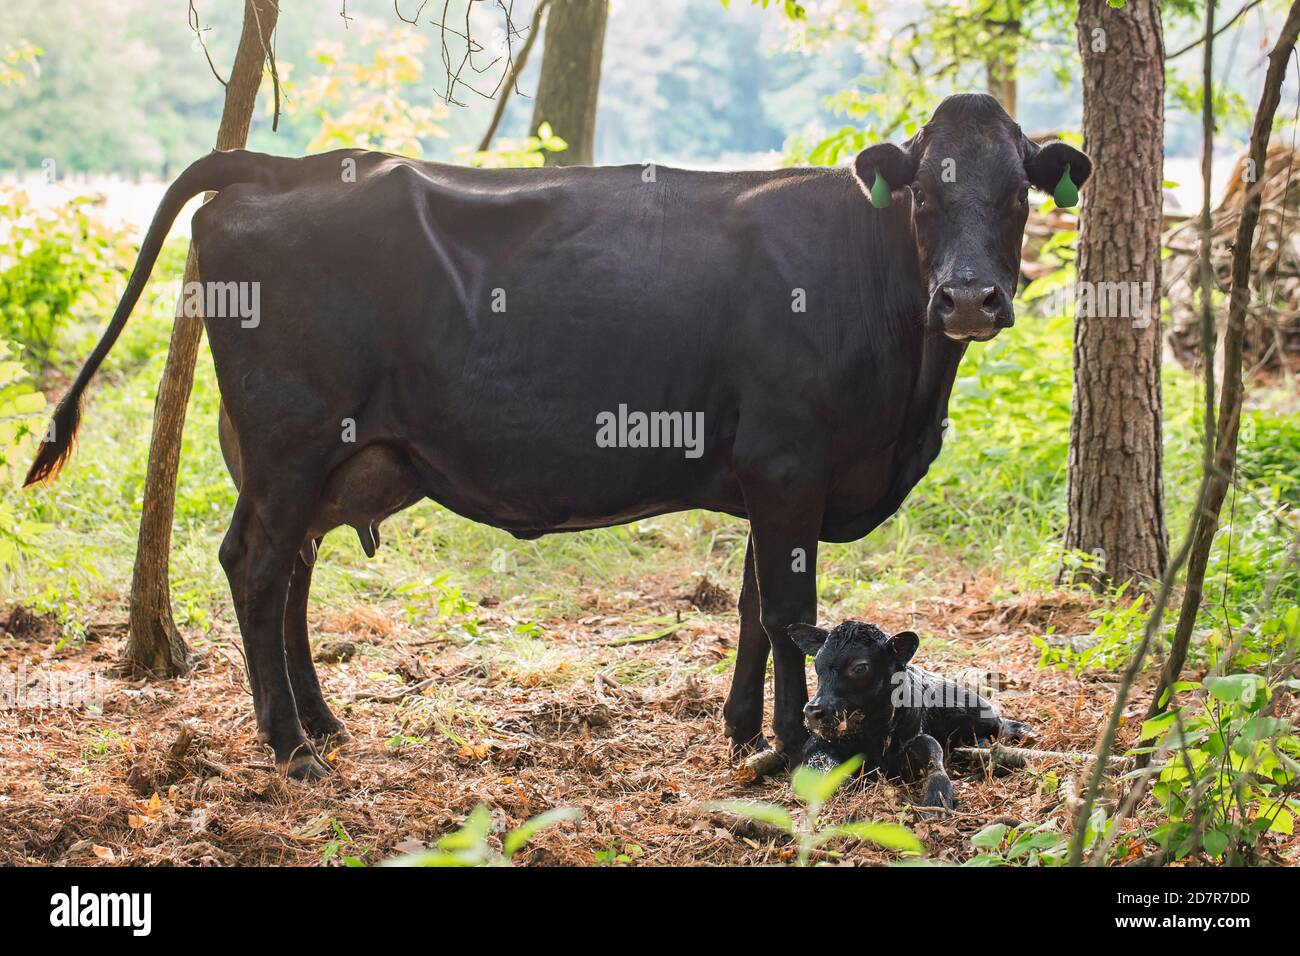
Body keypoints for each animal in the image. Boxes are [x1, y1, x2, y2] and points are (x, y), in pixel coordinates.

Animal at [27, 89, 1086, 780]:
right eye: (923, 195)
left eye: (1019, 194)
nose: (968, 298)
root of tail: (283, 165)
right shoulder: (791, 467)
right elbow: (793, 613)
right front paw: (796, 747)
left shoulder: (769, 476)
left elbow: (752, 605)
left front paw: (745, 731)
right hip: (290, 439)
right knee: (254, 564)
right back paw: (290, 749)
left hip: (322, 457)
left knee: (290, 569)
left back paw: (321, 724)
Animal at [785, 621, 1029, 806]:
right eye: (817, 663)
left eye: (860, 668)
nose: (813, 711)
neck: (873, 736)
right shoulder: (816, 744)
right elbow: (820, 765)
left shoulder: (916, 739)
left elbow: (934, 758)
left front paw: (937, 800)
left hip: (975, 710)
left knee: (1000, 724)